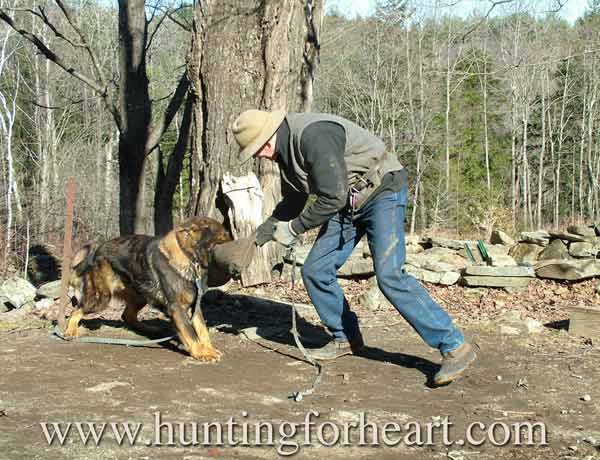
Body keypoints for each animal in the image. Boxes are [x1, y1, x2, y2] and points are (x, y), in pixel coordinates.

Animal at [67, 217, 232, 362]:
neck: (188, 256)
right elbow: (191, 333)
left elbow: (202, 330)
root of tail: (97, 250)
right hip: (102, 299)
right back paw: (70, 330)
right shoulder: (177, 308)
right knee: (76, 311)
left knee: (127, 315)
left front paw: (208, 350)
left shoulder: (195, 307)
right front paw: (201, 353)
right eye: (224, 235)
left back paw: (149, 329)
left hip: (141, 296)